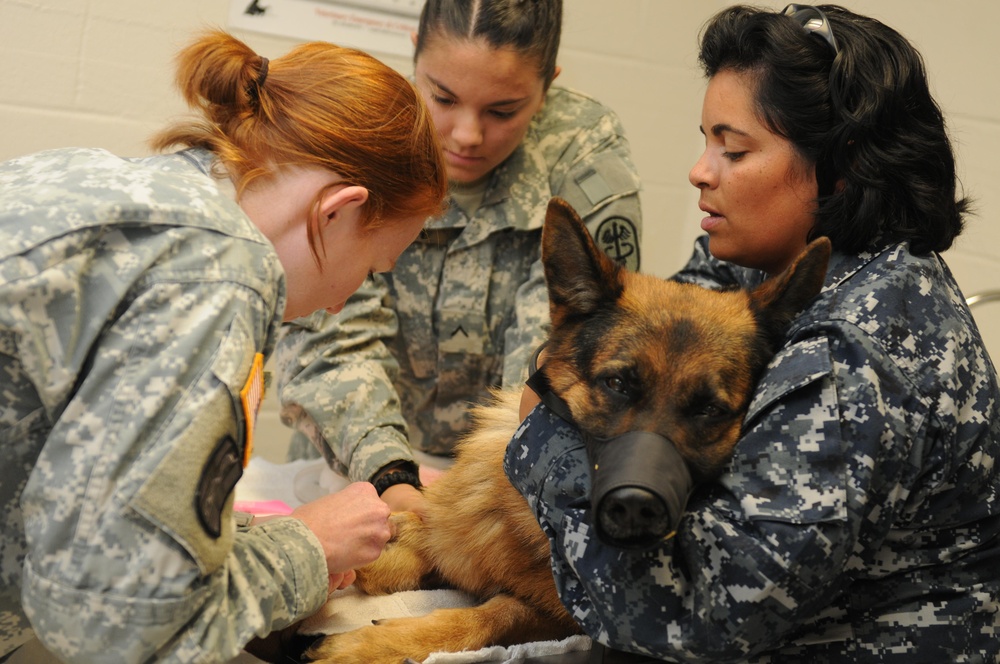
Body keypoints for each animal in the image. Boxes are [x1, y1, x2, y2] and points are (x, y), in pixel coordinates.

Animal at [302, 197, 828, 664]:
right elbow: (410, 546)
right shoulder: (454, 532)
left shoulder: (559, 618)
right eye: (617, 384)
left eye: (709, 410)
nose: (637, 508)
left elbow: (491, 614)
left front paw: (369, 643)